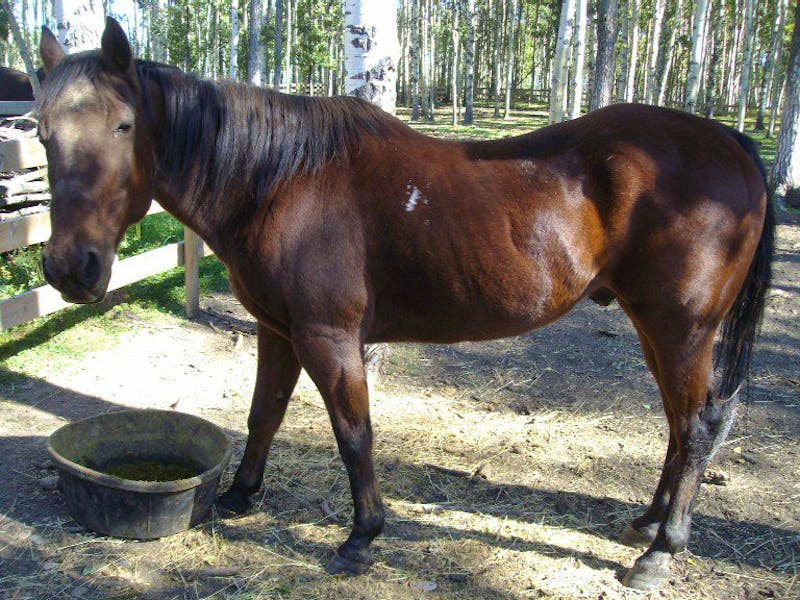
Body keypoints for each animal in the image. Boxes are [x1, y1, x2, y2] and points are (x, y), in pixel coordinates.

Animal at [35, 18, 773, 591]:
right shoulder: (279, 330)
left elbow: (354, 434)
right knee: (680, 424)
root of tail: (728, 143)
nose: (71, 268)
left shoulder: (328, 338)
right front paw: (242, 495)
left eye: (124, 125)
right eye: (41, 133)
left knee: (701, 424)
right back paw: (649, 522)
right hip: (658, 329)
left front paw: (363, 536)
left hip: (681, 328)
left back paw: (660, 552)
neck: (282, 180)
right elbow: (264, 413)